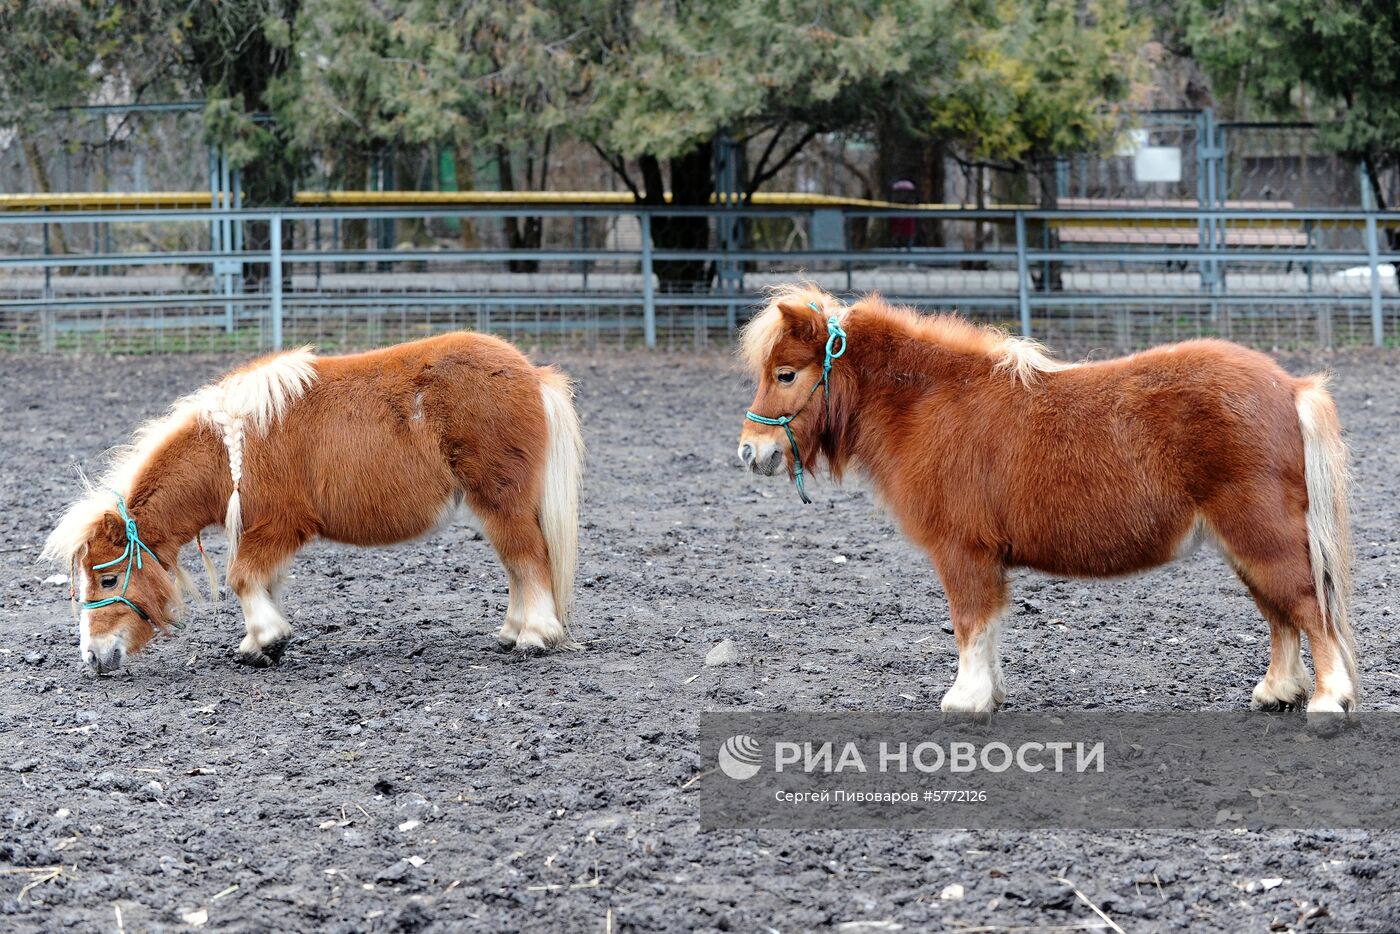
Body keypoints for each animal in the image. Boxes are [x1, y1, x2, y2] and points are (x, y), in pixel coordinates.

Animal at [40, 331, 582, 674]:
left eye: (109, 579)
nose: (93, 658)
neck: (231, 448)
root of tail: (533, 375)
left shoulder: (279, 527)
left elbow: (242, 578)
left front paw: (266, 640)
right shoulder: (269, 536)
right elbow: (265, 583)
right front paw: (262, 643)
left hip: (502, 501)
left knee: (528, 559)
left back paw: (534, 636)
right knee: (517, 565)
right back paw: (512, 631)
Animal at [733, 288, 1355, 722]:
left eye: (786, 374)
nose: (750, 451)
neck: (930, 403)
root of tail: (1289, 387)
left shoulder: (962, 553)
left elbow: (969, 623)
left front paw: (965, 698)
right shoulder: (984, 558)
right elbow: (987, 628)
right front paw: (989, 692)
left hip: (1262, 537)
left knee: (1306, 608)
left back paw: (1327, 700)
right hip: (1243, 544)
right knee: (1281, 614)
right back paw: (1277, 691)